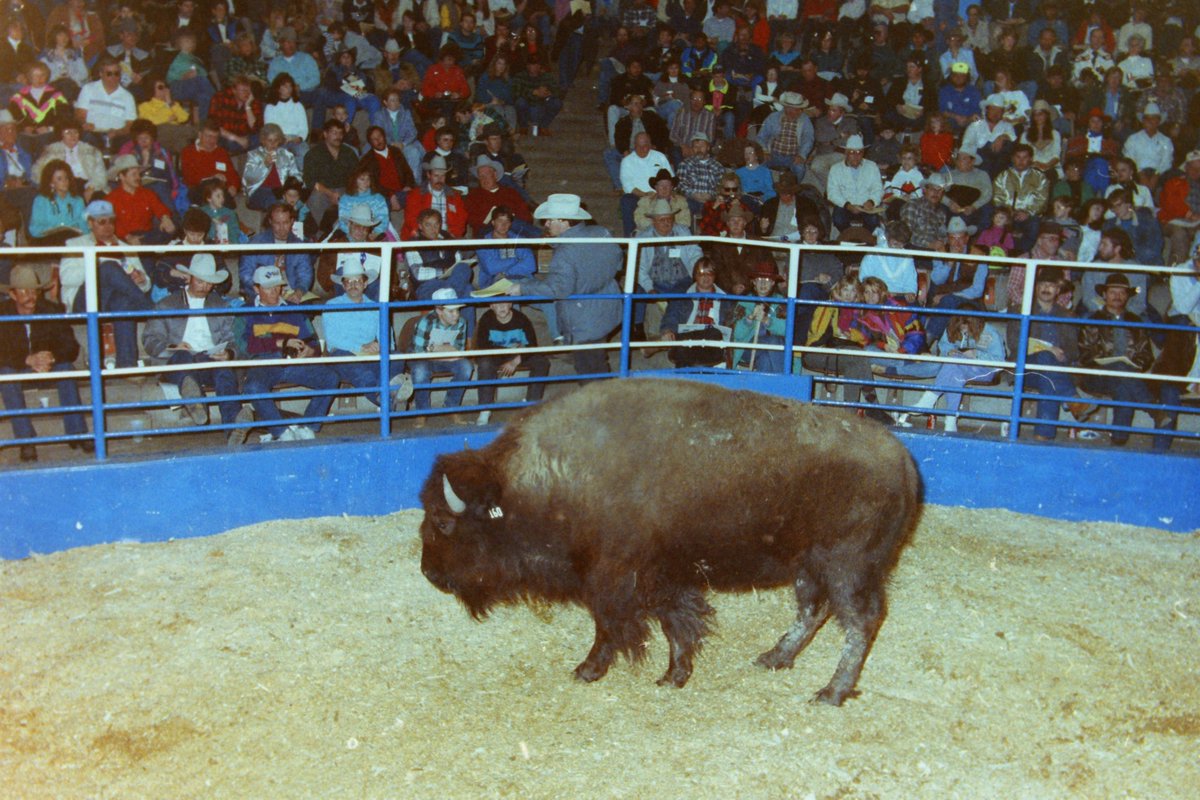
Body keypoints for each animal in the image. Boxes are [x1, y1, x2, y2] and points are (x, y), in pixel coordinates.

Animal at [418, 378, 921, 705]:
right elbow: (676, 623)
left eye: (443, 523)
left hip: (847, 567)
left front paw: (588, 670)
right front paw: (675, 675)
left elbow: (613, 627)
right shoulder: (660, 578)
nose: (429, 573)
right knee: (813, 611)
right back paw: (773, 658)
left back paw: (831, 692)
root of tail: (901, 461)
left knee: (859, 621)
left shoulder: (614, 579)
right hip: (810, 566)